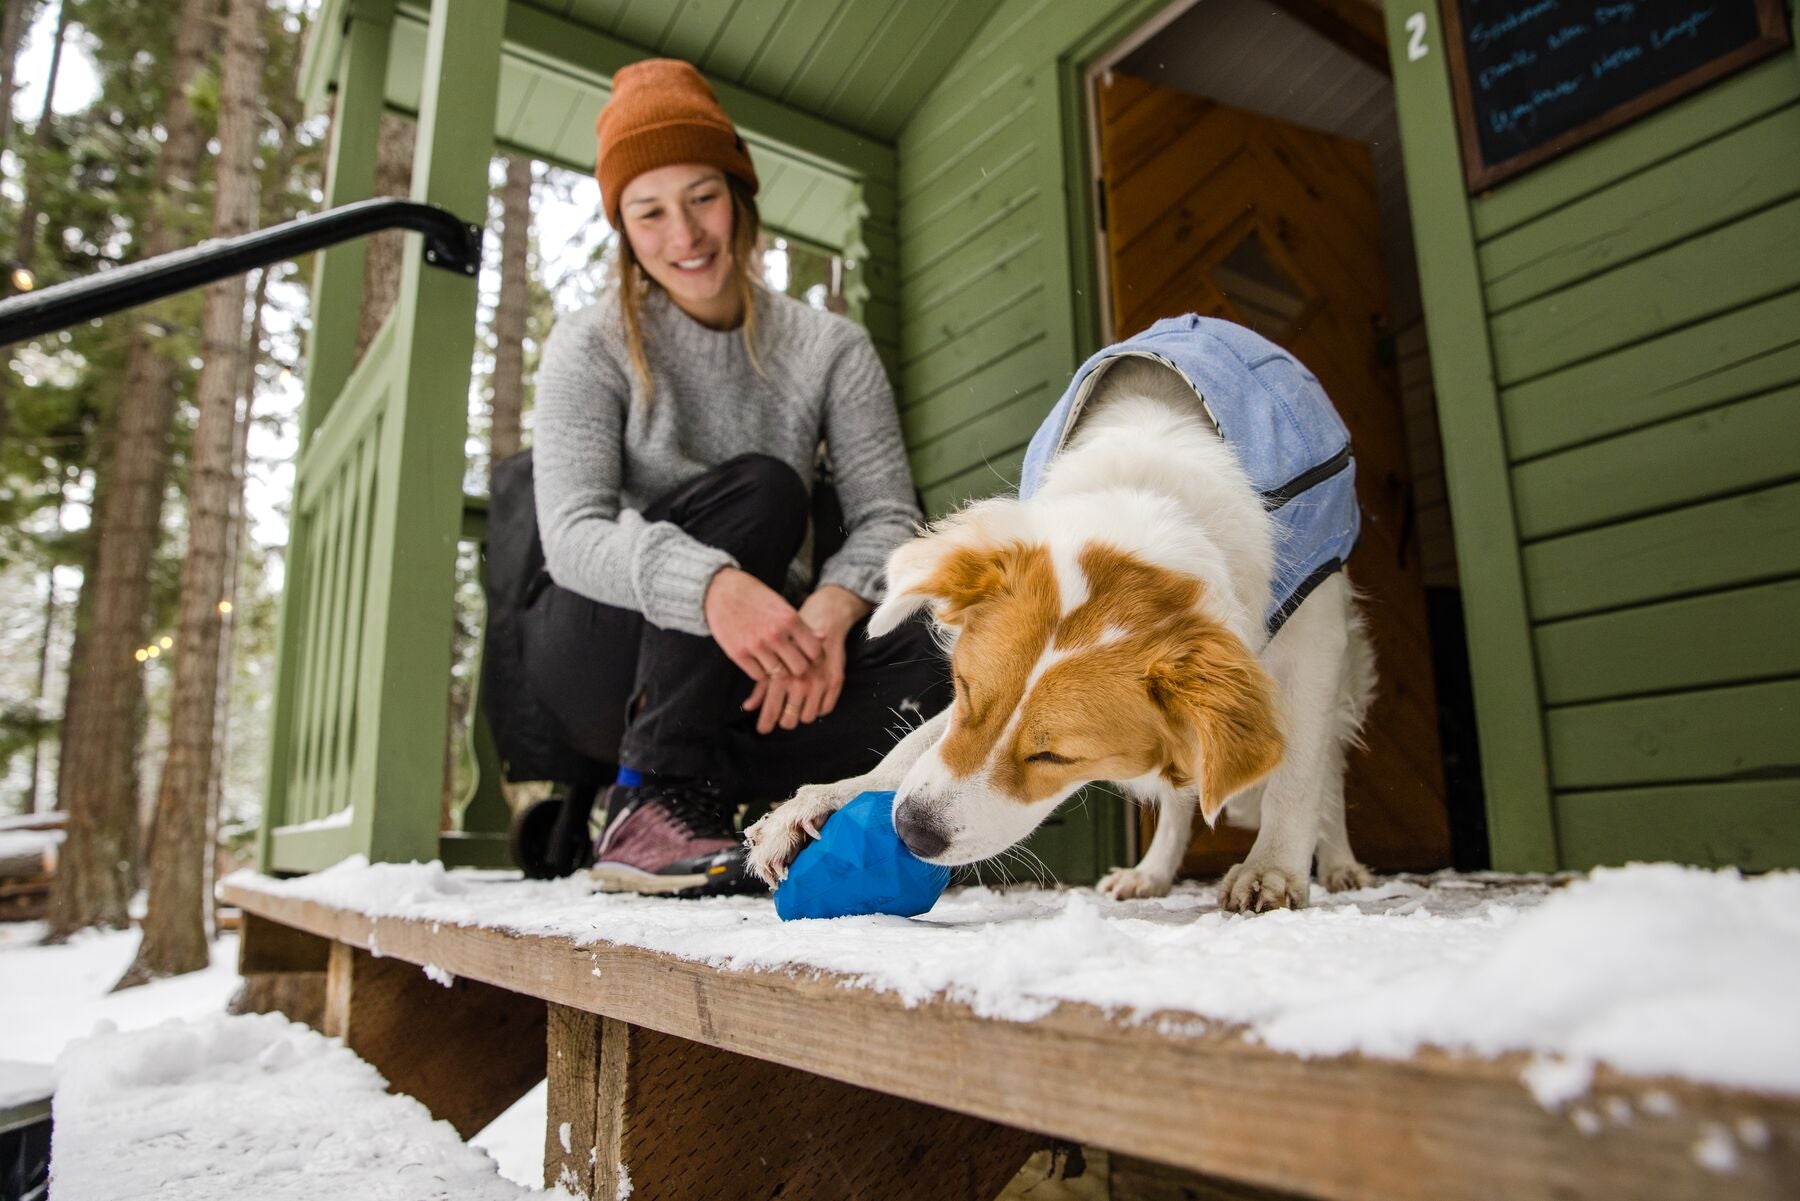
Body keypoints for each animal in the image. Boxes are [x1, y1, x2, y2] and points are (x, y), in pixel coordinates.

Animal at [745, 315, 1375, 914]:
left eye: (1056, 755)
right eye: (965, 691)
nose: (911, 832)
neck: (1149, 492)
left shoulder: (1314, 635)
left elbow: (1298, 775)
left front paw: (1273, 867)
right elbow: (916, 743)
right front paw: (828, 799)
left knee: (1329, 768)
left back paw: (1340, 864)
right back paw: (1152, 872)